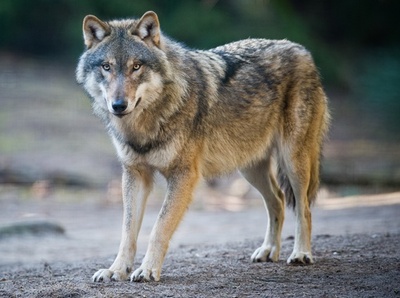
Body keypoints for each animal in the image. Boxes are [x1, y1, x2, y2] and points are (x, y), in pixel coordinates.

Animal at [76, 10, 330, 282]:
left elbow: (159, 227)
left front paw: (147, 270)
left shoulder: (184, 176)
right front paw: (116, 270)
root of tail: (301, 49)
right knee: (279, 200)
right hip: (250, 168)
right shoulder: (135, 174)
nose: (118, 105)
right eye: (106, 67)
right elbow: (127, 232)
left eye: (136, 66)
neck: (146, 124)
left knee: (304, 208)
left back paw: (301, 254)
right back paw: (268, 251)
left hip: (293, 161)